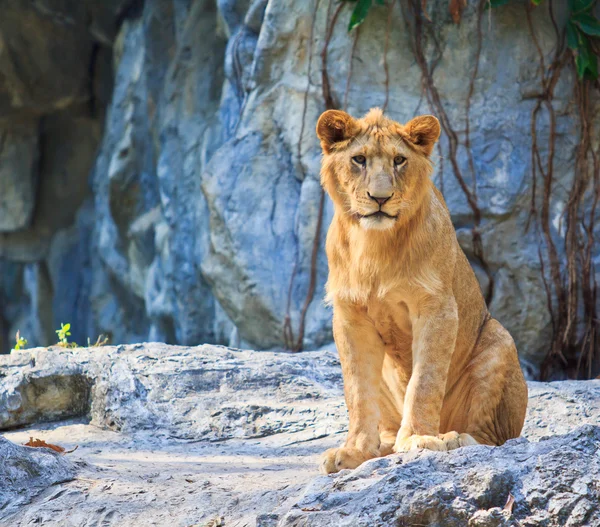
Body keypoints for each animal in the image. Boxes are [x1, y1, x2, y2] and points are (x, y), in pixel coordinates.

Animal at [316, 107, 528, 474]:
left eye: (399, 160)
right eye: (359, 159)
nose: (380, 198)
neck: (374, 245)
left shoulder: (437, 307)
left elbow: (425, 380)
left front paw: (418, 439)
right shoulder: (350, 316)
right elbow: (357, 390)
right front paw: (354, 451)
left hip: (499, 341)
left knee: (492, 437)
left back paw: (453, 438)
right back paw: (383, 447)